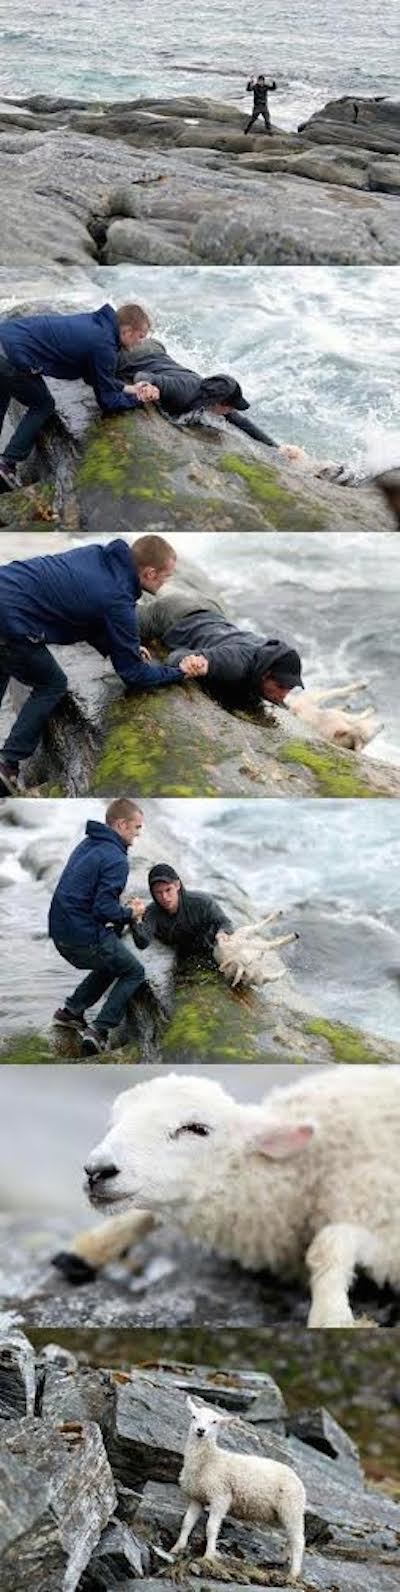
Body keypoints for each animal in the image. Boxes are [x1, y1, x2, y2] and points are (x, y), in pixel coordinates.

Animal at [54, 1066, 400, 1328]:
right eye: (113, 1123)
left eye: (196, 1128)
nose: (96, 1171)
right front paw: (88, 1250)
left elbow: (329, 1242)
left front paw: (333, 1318)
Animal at [169, 1395, 305, 1581]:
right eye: (194, 1417)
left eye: (214, 1421)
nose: (200, 1430)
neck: (209, 1460)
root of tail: (297, 1477)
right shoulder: (197, 1497)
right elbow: (187, 1523)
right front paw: (177, 1548)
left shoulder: (221, 1496)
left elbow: (211, 1528)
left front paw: (208, 1556)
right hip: (281, 1513)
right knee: (291, 1536)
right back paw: (281, 1559)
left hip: (292, 1507)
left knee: (299, 1540)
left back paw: (293, 1573)